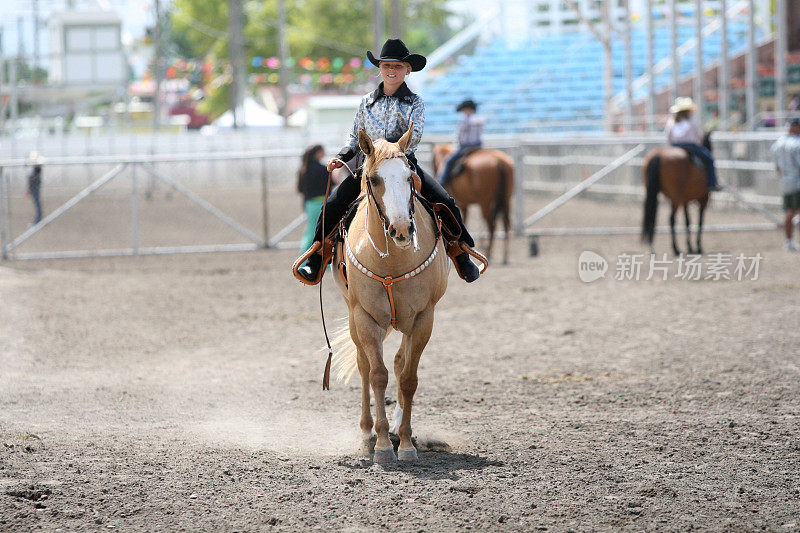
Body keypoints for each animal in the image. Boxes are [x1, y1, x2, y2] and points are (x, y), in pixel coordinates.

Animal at [332, 123, 450, 462]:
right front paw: (383, 446)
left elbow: (408, 378)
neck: (393, 260)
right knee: (364, 366)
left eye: (409, 177)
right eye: (374, 179)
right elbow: (377, 375)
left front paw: (407, 444)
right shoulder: (366, 317)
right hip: (353, 315)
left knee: (399, 363)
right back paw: (366, 433)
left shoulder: (424, 317)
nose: (401, 230)